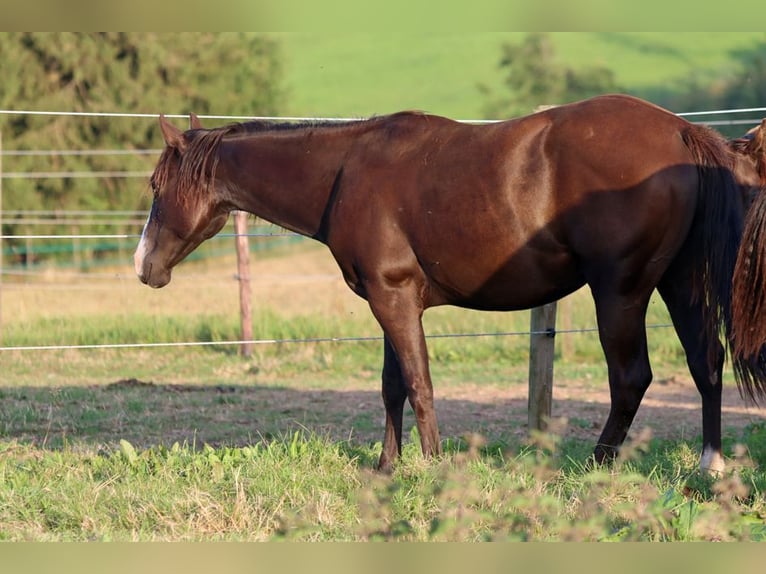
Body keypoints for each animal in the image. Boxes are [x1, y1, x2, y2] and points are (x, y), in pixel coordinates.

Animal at [134, 94, 766, 473]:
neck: (346, 171)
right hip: (680, 284)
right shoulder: (390, 300)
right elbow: (392, 386)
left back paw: (596, 464)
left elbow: (418, 383)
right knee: (706, 363)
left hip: (620, 292)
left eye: (155, 185)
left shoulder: (392, 299)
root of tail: (682, 133)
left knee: (632, 378)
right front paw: (387, 467)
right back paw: (710, 464)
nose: (144, 266)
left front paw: (433, 465)